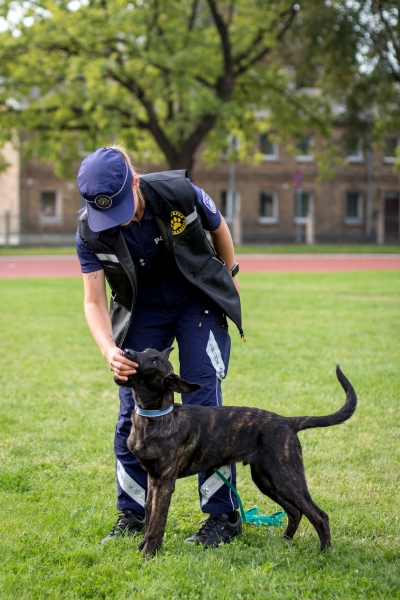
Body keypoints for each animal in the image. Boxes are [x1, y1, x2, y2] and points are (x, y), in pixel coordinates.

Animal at [114, 350, 358, 556]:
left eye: (154, 361)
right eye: (145, 350)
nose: (126, 351)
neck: (155, 417)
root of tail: (287, 422)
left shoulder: (164, 482)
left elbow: (157, 521)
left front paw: (149, 553)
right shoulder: (152, 478)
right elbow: (149, 513)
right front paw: (143, 546)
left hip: (287, 478)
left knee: (319, 514)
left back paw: (325, 553)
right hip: (267, 479)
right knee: (294, 511)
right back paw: (286, 540)